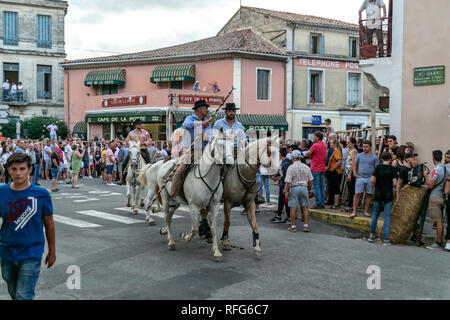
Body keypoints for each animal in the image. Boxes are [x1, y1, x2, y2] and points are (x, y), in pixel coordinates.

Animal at [156, 128, 232, 262]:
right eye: (220, 145)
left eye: (233, 146)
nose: (230, 164)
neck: (208, 178)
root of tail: (165, 162)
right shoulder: (193, 206)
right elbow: (195, 228)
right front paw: (185, 236)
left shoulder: (215, 205)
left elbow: (213, 228)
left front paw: (216, 251)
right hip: (165, 197)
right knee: (166, 216)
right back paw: (171, 242)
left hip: (176, 201)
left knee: (169, 217)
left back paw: (166, 233)